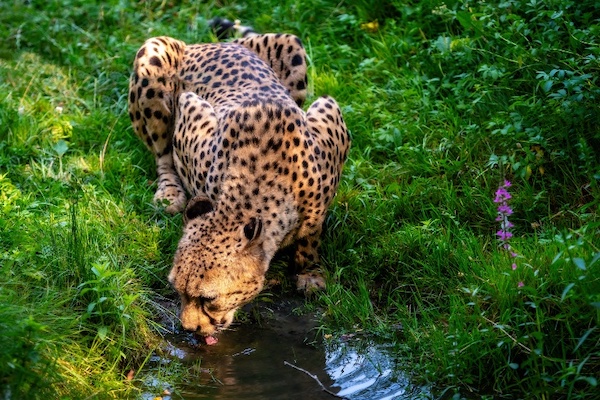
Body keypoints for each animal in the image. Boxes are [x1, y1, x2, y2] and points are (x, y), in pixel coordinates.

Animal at [129, 21, 350, 340]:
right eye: (176, 289)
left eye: (209, 299)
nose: (189, 328)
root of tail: (213, 44)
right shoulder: (190, 109)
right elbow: (174, 150)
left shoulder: (330, 112)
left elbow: (312, 230)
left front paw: (309, 271)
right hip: (152, 54)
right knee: (161, 153)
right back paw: (169, 192)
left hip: (293, 49)